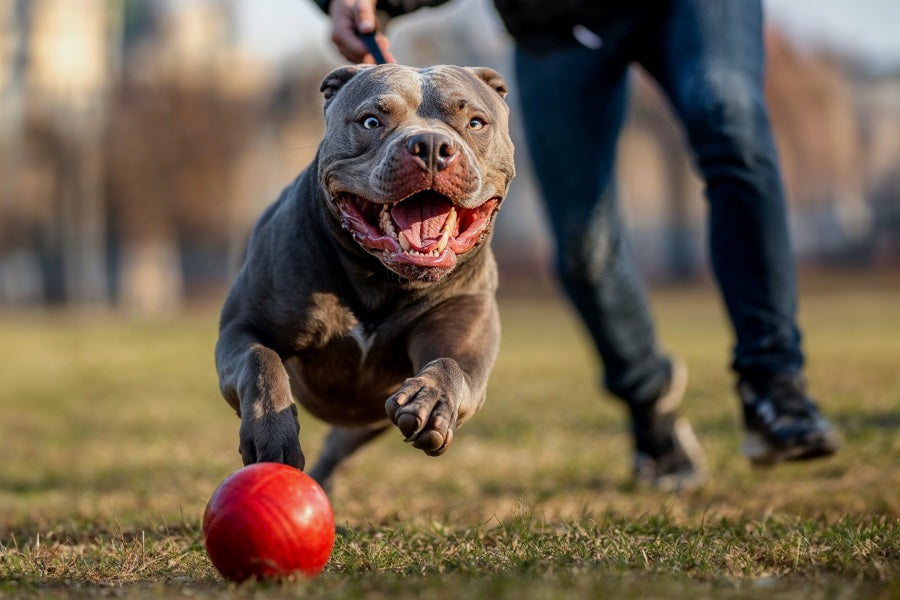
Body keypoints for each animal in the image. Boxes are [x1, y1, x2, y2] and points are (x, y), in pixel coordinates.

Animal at [214, 63, 516, 490]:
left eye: (475, 122)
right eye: (371, 121)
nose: (431, 146)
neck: (379, 278)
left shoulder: (468, 340)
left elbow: (450, 364)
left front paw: (432, 399)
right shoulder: (241, 328)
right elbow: (260, 361)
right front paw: (270, 432)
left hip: (364, 424)